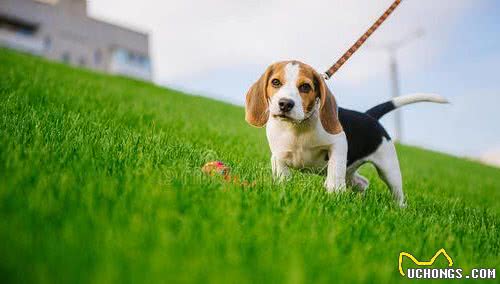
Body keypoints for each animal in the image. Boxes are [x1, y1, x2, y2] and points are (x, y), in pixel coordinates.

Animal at [244, 60, 448, 206]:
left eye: (305, 87)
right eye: (275, 82)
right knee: (362, 182)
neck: (297, 128)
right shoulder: (277, 155)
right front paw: (282, 187)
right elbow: (282, 172)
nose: (285, 104)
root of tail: (369, 115)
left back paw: (399, 208)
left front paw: (333, 192)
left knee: (397, 192)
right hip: (351, 171)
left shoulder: (338, 144)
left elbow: (334, 171)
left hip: (388, 168)